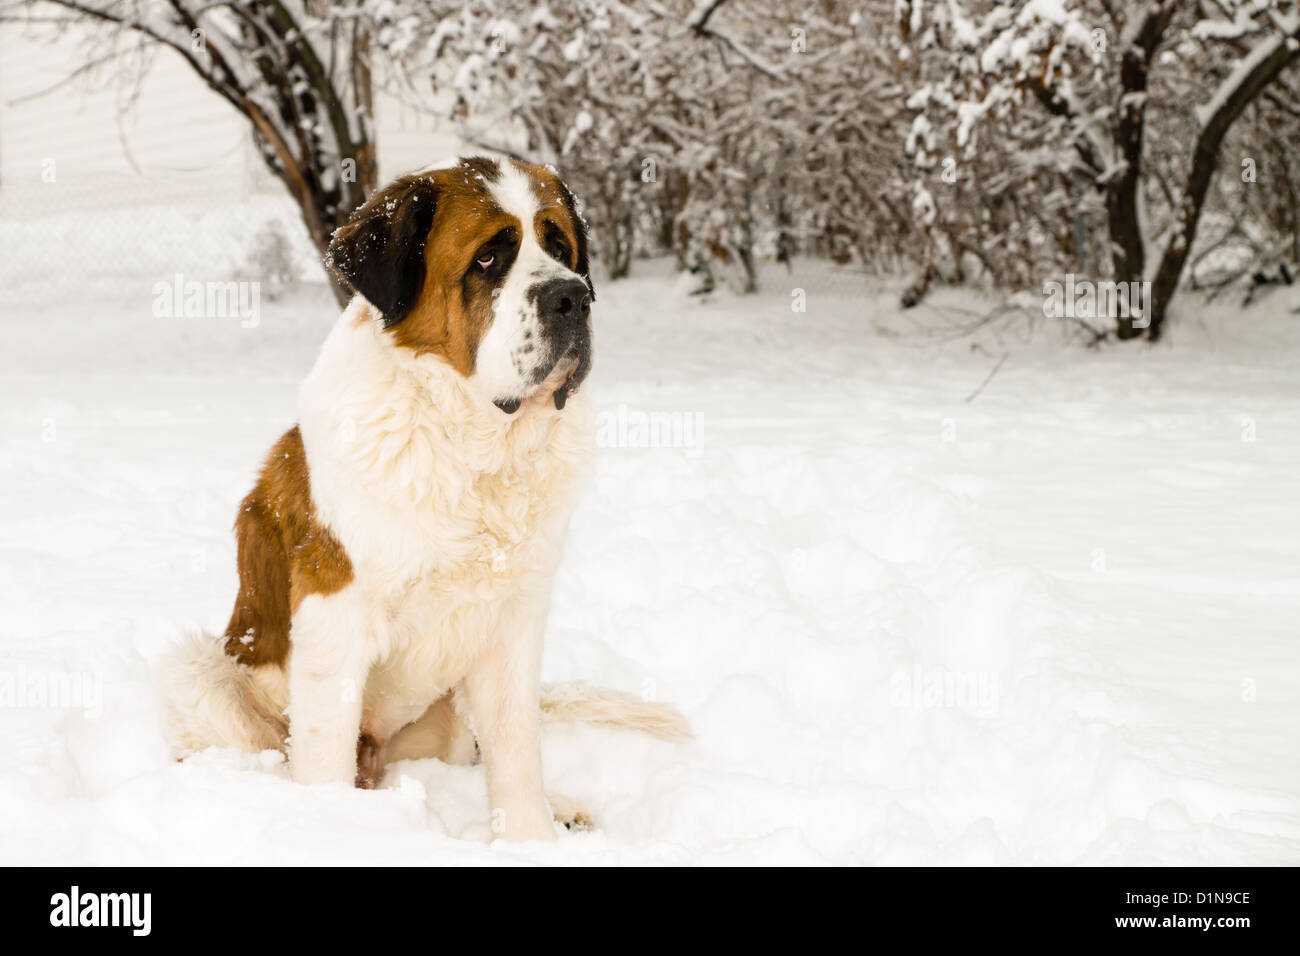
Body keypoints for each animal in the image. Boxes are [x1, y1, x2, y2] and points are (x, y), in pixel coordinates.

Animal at [159, 153, 691, 842]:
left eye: (559, 248)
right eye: (488, 259)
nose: (573, 295)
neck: (471, 446)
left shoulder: (513, 625)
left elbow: (517, 753)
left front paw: (532, 840)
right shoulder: (334, 613)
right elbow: (324, 752)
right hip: (200, 673)